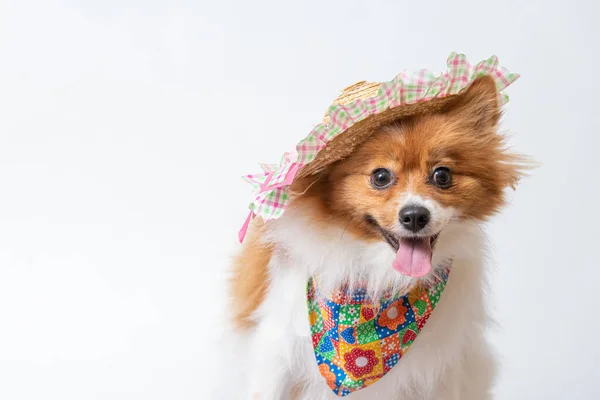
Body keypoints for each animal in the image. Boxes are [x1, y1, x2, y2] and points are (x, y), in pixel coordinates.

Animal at [227, 76, 528, 400]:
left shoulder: (442, 368)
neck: (378, 281)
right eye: (380, 177)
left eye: (442, 175)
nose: (415, 216)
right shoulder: (278, 349)